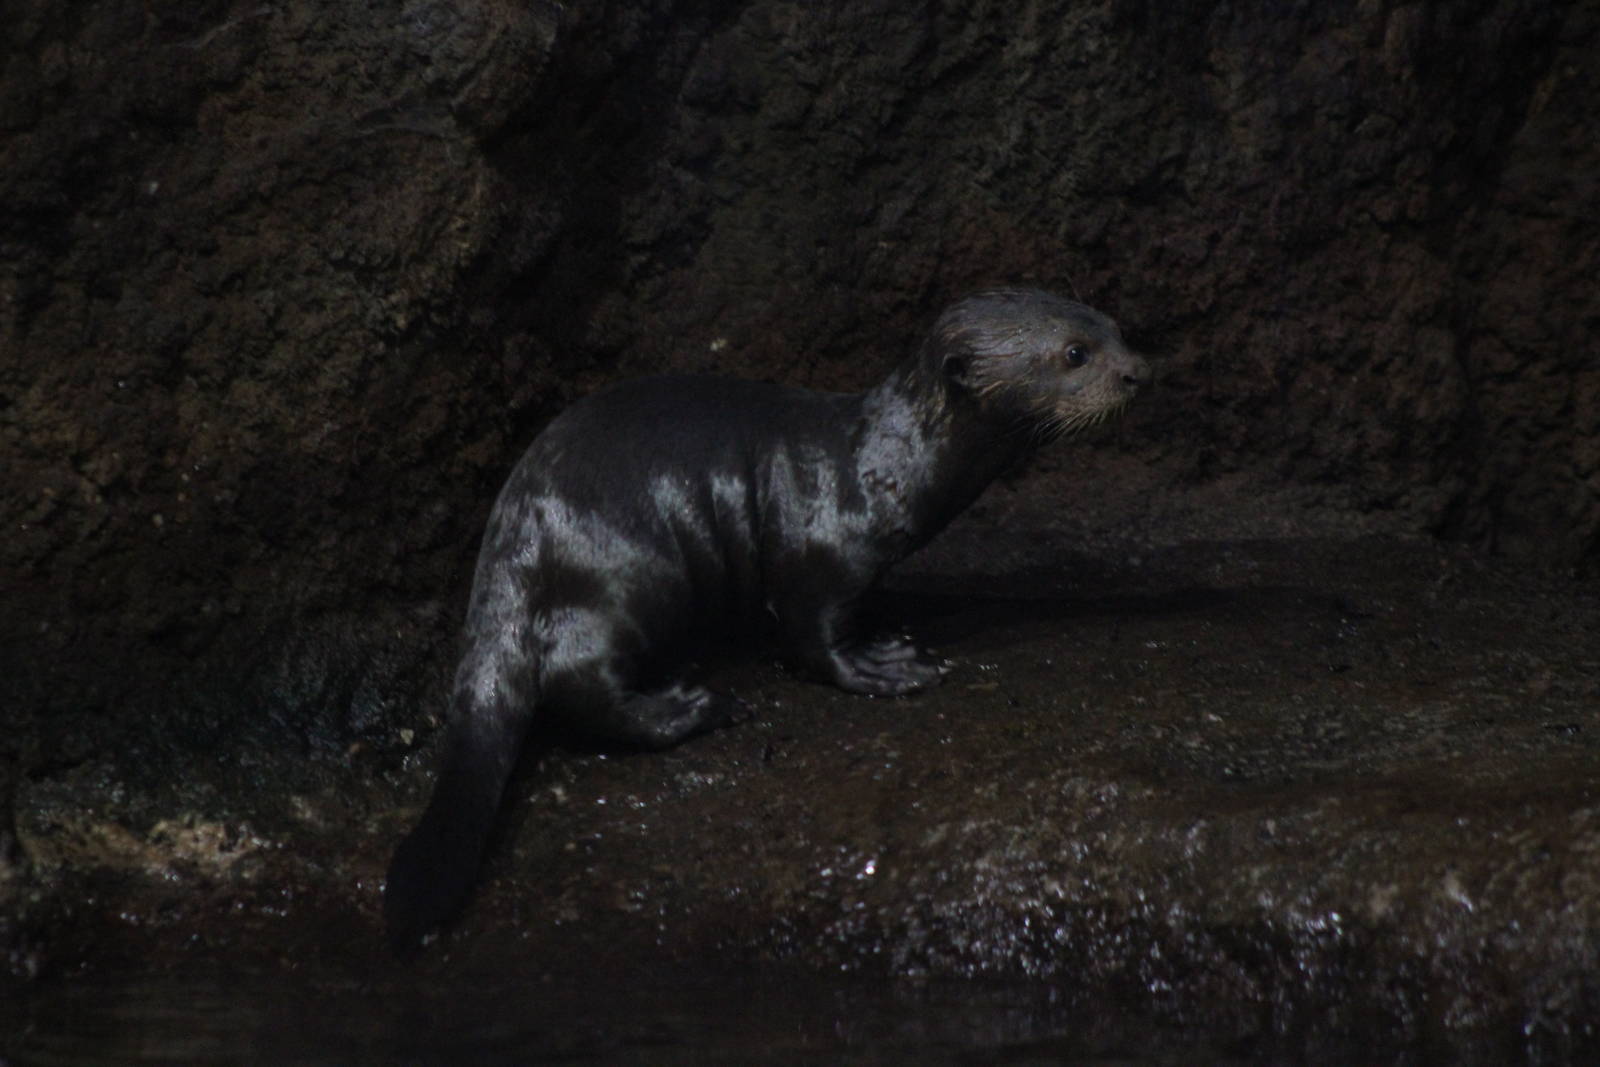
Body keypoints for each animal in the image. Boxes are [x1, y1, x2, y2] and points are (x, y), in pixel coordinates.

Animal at [385, 288, 1150, 950]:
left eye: (1115, 327)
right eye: (1075, 352)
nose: (1138, 372)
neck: (885, 468)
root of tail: (514, 538)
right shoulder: (817, 547)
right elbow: (813, 631)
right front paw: (884, 666)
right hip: (629, 570)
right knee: (577, 675)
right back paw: (693, 707)